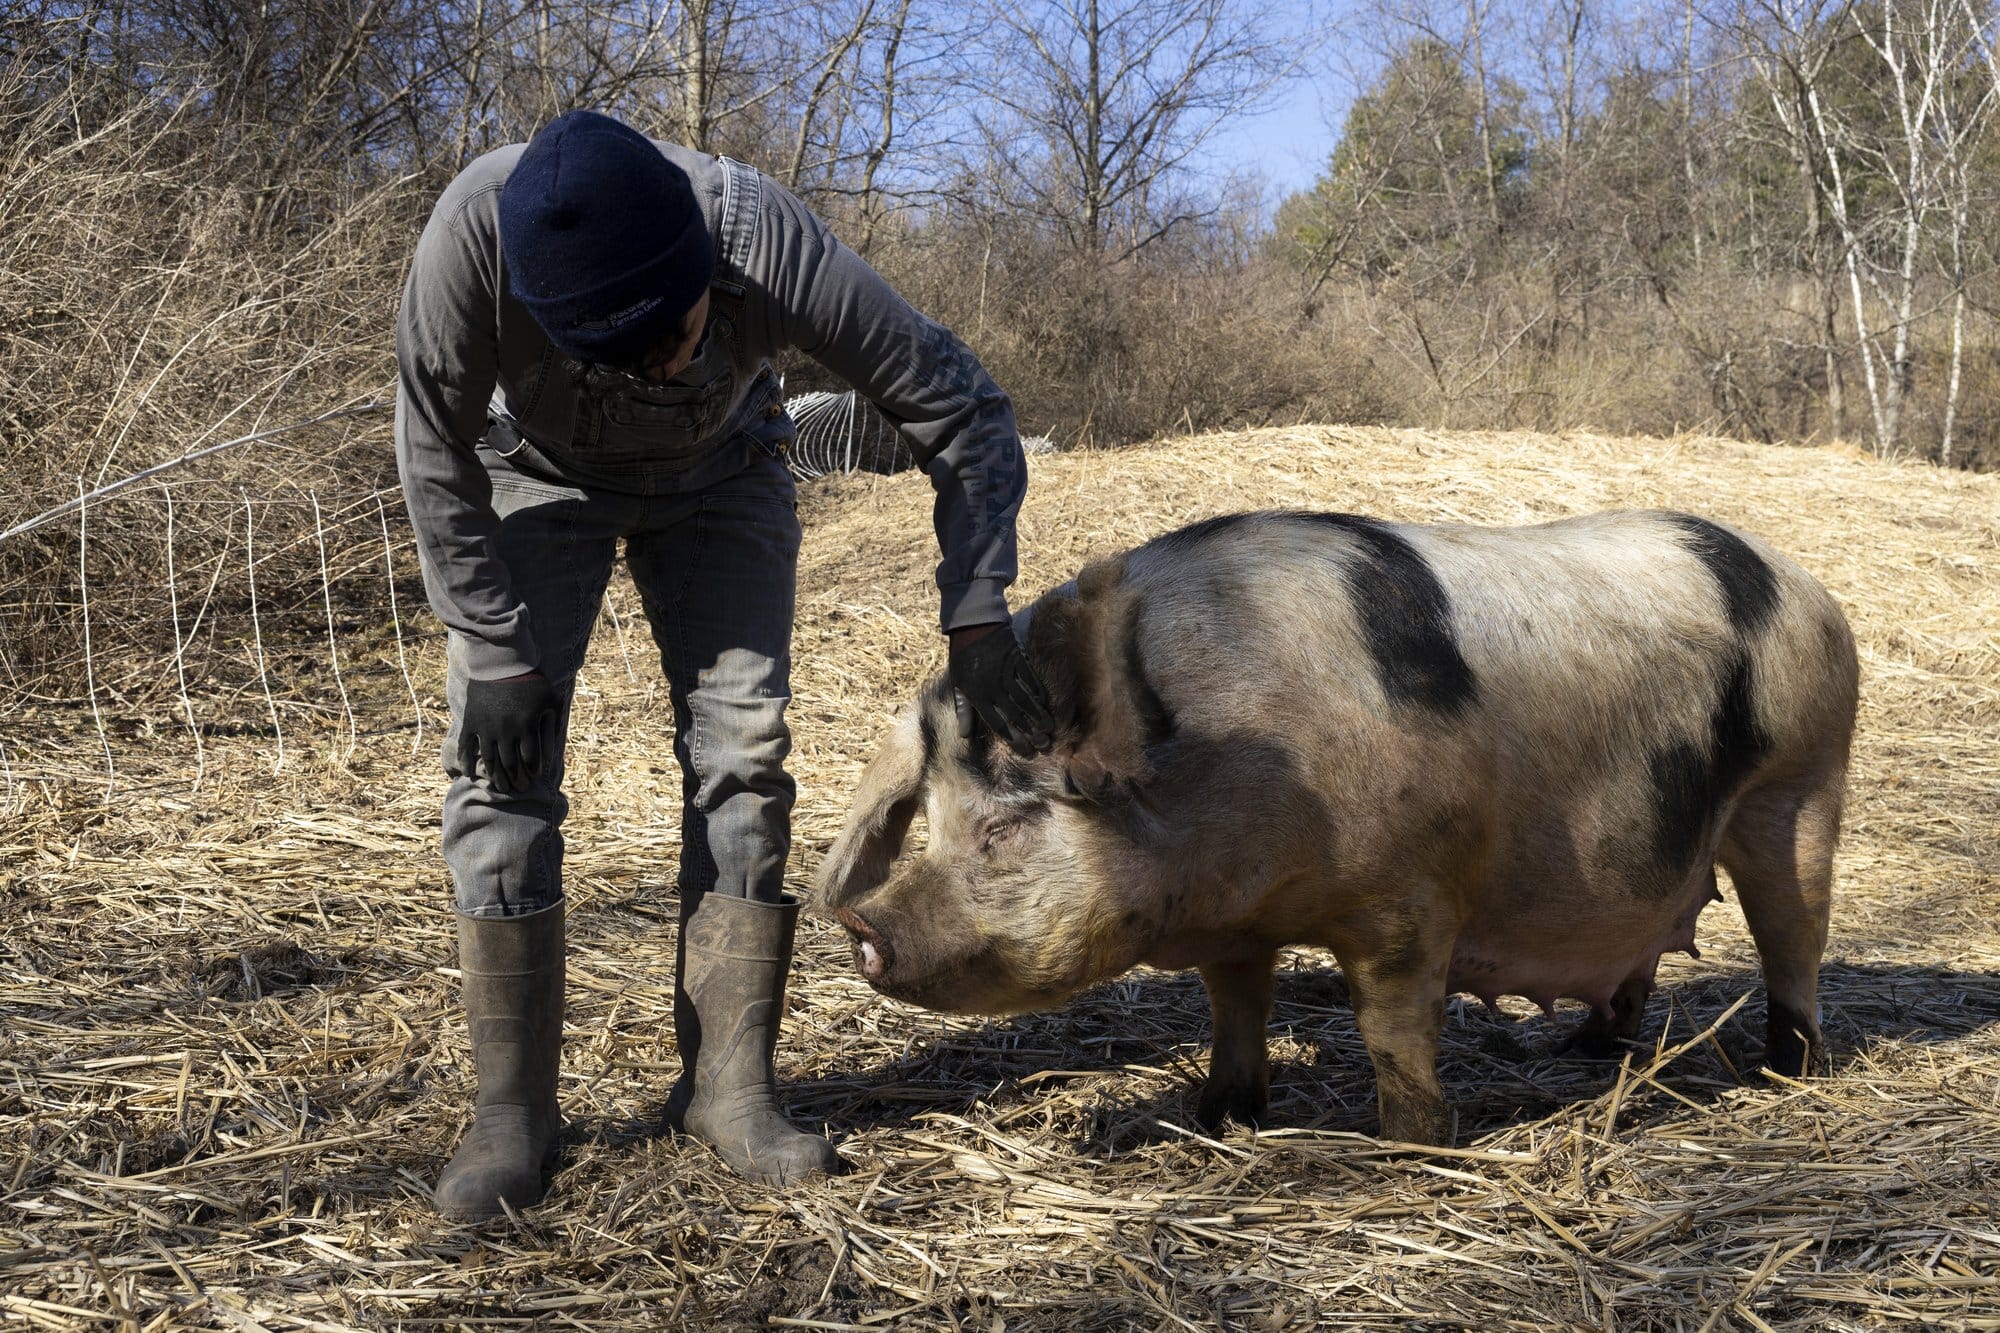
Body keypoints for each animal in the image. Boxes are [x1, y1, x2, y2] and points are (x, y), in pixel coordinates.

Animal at [814, 509, 1858, 1144]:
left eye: (1005, 826)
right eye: (930, 820)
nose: (864, 923)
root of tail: (1808, 584)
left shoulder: (1412, 895)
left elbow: (1390, 1026)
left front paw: (1406, 1144)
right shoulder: (1233, 923)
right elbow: (1235, 1006)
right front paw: (1221, 1115)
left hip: (1802, 782)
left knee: (1794, 934)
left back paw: (1787, 1071)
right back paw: (1583, 1052)